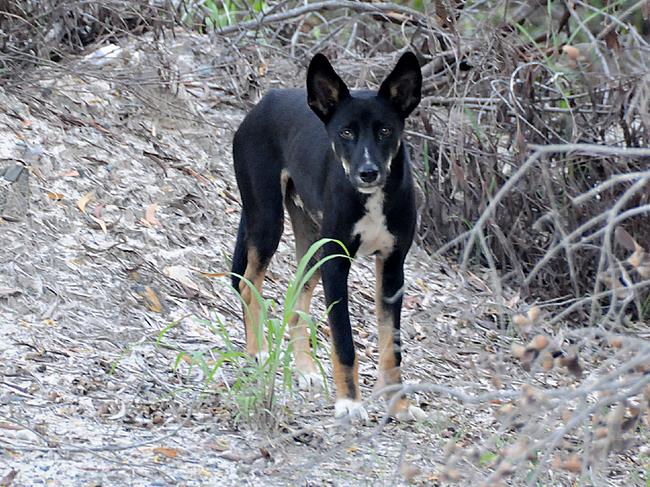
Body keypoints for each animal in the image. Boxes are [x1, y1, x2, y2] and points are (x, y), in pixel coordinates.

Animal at [230, 51, 422, 422]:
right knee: (248, 285)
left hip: (312, 242)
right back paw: (257, 351)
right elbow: (344, 342)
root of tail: (265, 101)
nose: (367, 172)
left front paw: (398, 403)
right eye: (346, 132)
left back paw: (305, 369)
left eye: (385, 131)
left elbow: (392, 347)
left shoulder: (393, 267)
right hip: (267, 220)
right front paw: (349, 403)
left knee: (295, 298)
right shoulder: (337, 263)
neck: (371, 199)